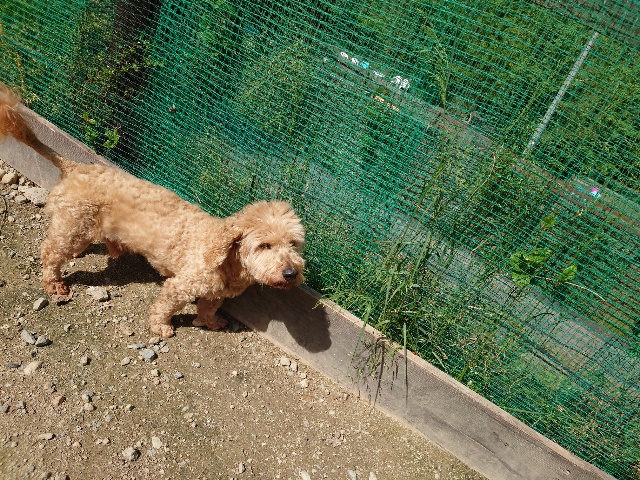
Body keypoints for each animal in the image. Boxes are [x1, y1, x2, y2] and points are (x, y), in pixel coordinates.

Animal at [0, 84, 305, 338]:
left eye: (293, 244)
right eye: (264, 245)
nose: (291, 274)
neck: (226, 258)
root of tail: (74, 167)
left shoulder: (215, 293)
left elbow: (208, 308)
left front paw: (211, 322)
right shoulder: (180, 285)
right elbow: (165, 307)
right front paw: (161, 327)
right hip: (74, 226)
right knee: (50, 252)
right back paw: (55, 284)